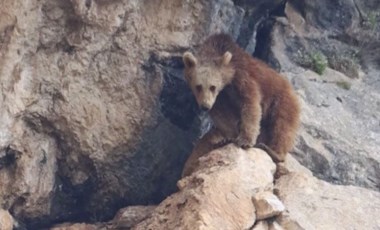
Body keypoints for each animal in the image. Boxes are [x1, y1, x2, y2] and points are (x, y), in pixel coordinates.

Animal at [181, 33, 300, 177]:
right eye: (198, 86)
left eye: (212, 87)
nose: (205, 106)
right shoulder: (221, 99)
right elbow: (224, 118)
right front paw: (227, 139)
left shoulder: (243, 79)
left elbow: (250, 105)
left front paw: (244, 141)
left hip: (281, 102)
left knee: (282, 126)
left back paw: (274, 151)